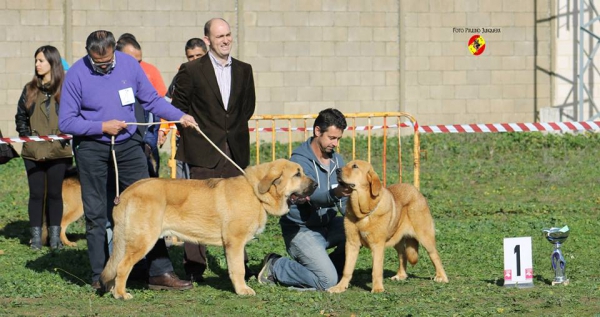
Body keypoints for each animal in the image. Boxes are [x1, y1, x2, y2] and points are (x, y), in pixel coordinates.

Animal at [102, 159, 318, 298]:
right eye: (297, 174)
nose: (316, 184)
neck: (256, 192)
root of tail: (127, 193)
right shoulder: (235, 243)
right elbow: (238, 269)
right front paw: (242, 290)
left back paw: (113, 291)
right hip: (143, 241)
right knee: (122, 267)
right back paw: (121, 294)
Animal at [326, 159, 448, 292]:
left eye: (355, 166)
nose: (337, 170)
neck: (363, 212)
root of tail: (416, 190)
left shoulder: (377, 245)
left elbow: (376, 269)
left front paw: (377, 289)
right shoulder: (352, 243)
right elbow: (347, 269)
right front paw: (339, 287)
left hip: (424, 236)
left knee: (435, 255)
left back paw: (441, 277)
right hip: (397, 238)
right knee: (403, 254)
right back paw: (400, 275)